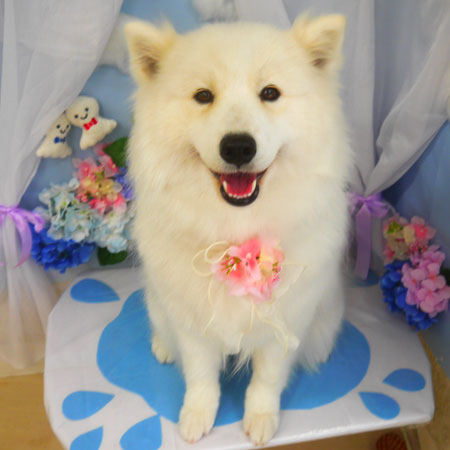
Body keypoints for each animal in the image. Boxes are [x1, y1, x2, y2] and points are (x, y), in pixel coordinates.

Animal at [125, 14, 351, 445]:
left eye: (270, 93)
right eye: (203, 96)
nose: (238, 147)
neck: (235, 232)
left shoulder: (285, 323)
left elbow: (266, 381)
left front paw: (261, 419)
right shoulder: (192, 323)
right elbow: (201, 379)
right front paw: (197, 417)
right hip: (159, 303)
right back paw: (163, 346)